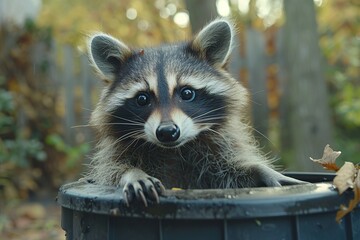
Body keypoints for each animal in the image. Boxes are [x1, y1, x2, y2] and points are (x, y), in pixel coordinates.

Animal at [85, 18, 304, 206]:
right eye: (142, 99)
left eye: (187, 93)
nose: (167, 132)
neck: (173, 150)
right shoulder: (117, 152)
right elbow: (112, 171)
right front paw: (132, 174)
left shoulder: (218, 151)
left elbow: (232, 170)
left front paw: (263, 171)